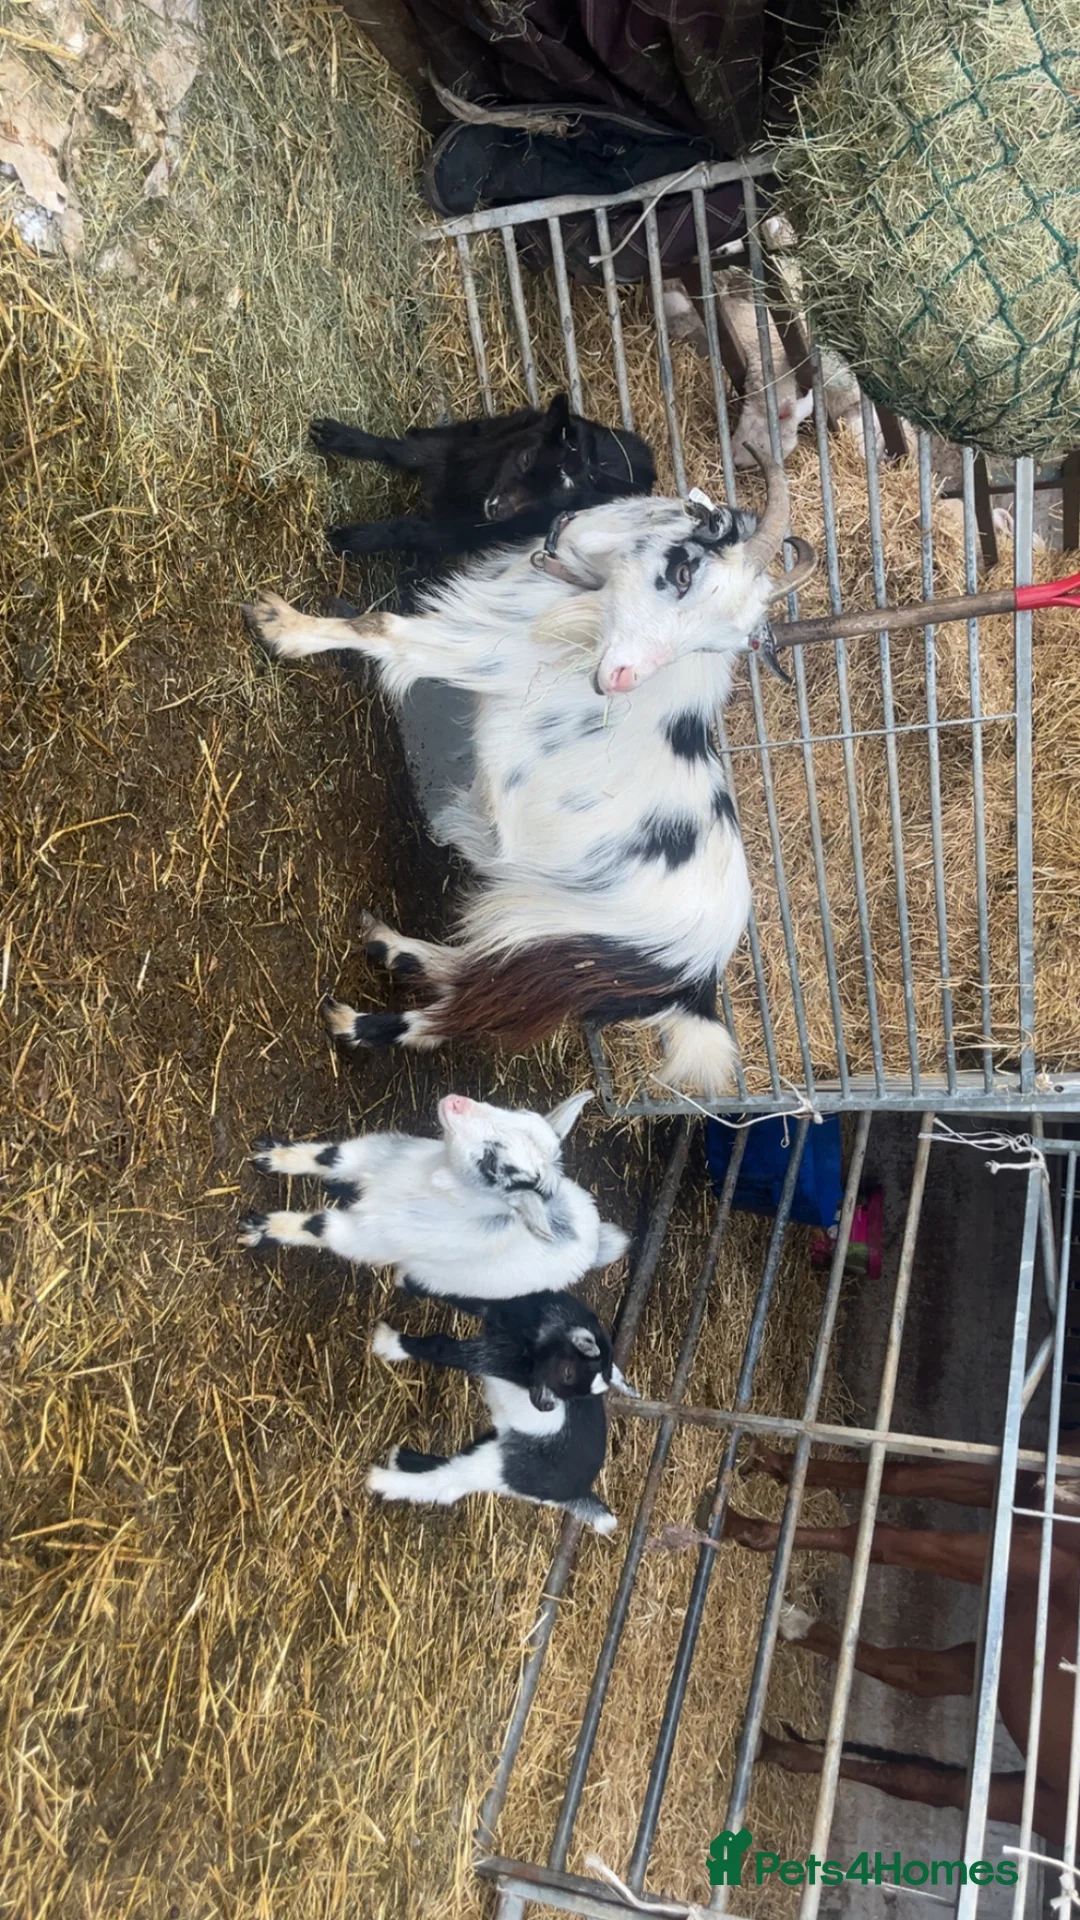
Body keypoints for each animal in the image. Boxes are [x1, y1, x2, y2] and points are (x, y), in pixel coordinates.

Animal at [238, 1090, 628, 1302]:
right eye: (517, 1111)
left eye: (491, 1164)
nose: (456, 1103)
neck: (428, 1186)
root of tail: (595, 1239)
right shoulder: (371, 1156)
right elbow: (328, 1157)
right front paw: (273, 1155)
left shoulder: (366, 1237)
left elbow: (318, 1226)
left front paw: (260, 1231)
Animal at [242, 460, 813, 1094]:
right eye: (683, 572)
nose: (618, 678)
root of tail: (699, 986)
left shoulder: (473, 649)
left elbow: (381, 628)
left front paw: (281, 625)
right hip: (535, 931)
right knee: (470, 971)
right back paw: (387, 946)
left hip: (557, 946)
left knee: (462, 1012)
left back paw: (359, 1021)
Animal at [310, 391, 656, 564]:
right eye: (527, 457)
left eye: (552, 503)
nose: (498, 508)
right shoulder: (457, 447)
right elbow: (402, 451)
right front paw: (338, 437)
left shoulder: (464, 532)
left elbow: (412, 530)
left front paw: (353, 538)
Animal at [367, 1290, 630, 1534]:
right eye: (568, 1372)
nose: (546, 1406)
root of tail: (578, 1490)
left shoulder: (496, 1357)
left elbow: (443, 1348)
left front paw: (388, 1342)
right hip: (503, 1448)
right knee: (455, 1475)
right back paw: (399, 1458)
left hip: (510, 1467)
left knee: (445, 1483)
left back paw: (380, 1480)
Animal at [721, 1448, 1079, 1851]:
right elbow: (897, 1476)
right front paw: (779, 1465)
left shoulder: (1041, 1557)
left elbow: (877, 1540)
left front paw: (748, 1527)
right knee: (920, 1723)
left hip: (1049, 1798)